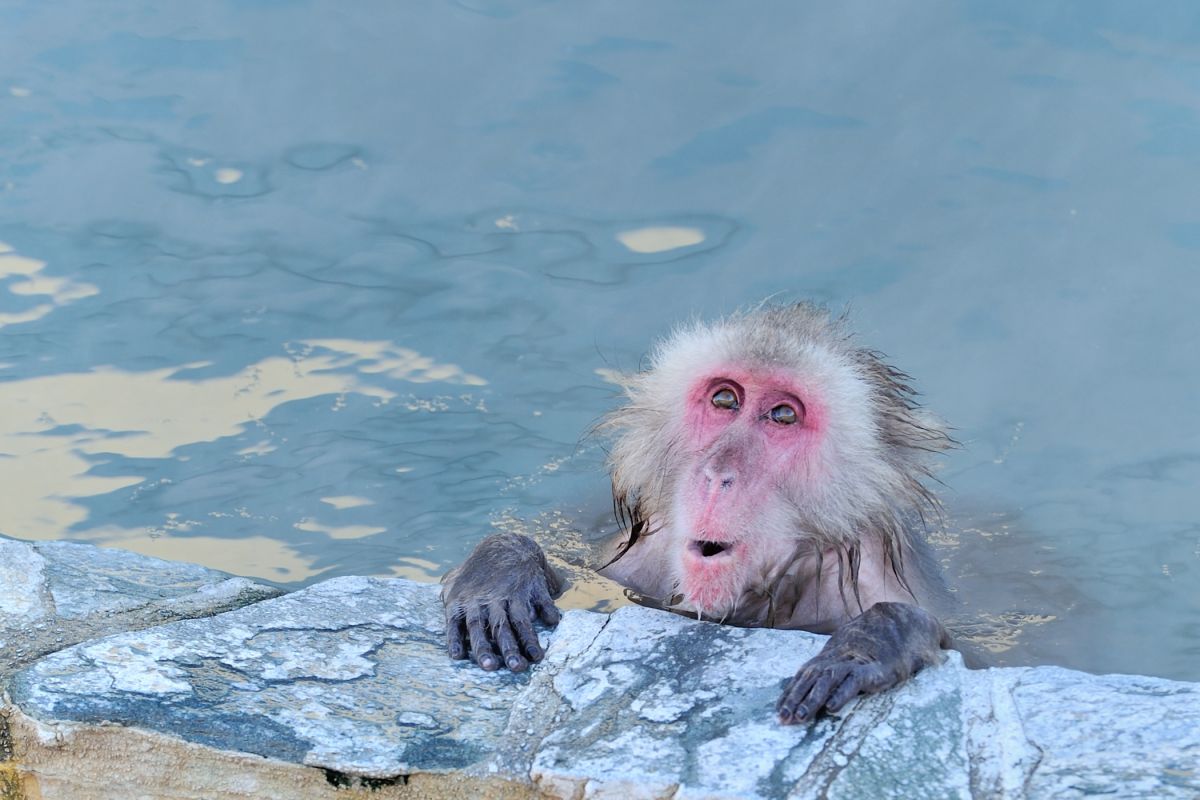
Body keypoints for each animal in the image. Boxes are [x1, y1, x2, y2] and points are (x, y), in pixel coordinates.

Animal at [441, 302, 955, 724]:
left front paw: (871, 642)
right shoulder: (642, 560)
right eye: (725, 399)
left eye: (784, 415)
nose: (718, 473)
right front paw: (500, 575)